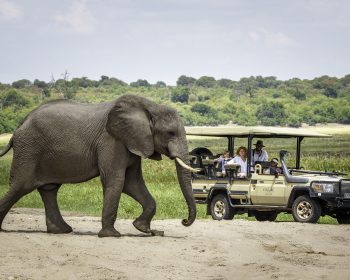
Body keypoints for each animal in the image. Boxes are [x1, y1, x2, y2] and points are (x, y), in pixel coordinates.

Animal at [0, 95, 197, 237]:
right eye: (170, 133)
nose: (184, 221)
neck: (150, 106)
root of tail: (19, 127)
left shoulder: (132, 142)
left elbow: (132, 183)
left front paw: (145, 230)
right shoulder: (112, 141)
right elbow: (116, 180)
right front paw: (112, 235)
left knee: (49, 189)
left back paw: (61, 231)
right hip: (29, 149)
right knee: (21, 186)